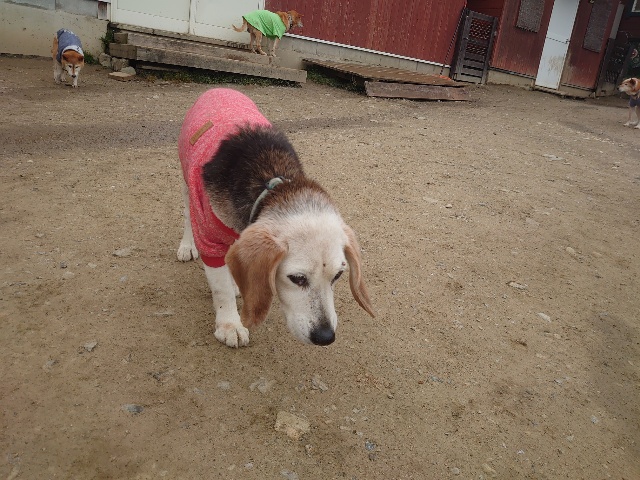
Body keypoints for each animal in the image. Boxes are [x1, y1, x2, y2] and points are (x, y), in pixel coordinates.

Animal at [177, 88, 374, 348]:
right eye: (297, 278)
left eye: (338, 275)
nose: (325, 337)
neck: (270, 184)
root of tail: (219, 89)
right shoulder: (210, 240)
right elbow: (221, 290)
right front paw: (229, 325)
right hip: (188, 185)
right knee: (188, 216)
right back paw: (187, 246)